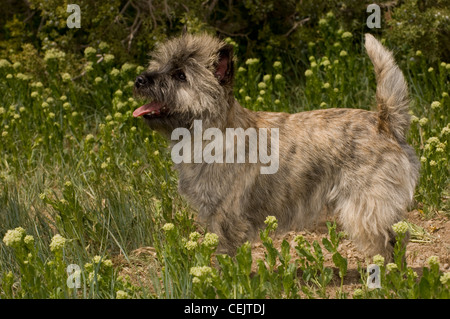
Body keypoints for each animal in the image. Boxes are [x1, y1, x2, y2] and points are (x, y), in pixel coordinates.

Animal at [132, 33, 420, 262]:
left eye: (180, 75)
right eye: (160, 64)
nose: (140, 79)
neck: (210, 133)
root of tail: (384, 123)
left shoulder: (226, 218)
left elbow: (225, 257)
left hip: (365, 209)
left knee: (387, 243)